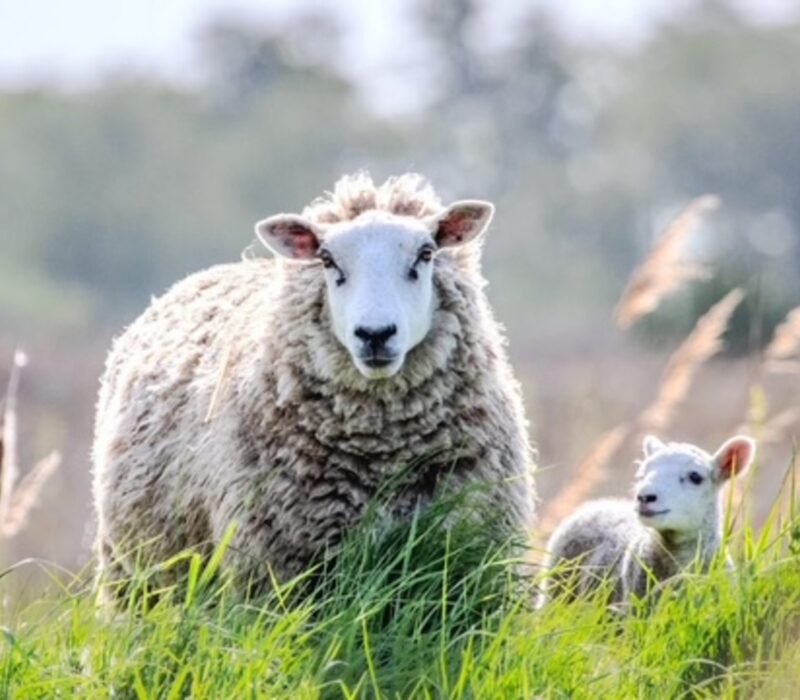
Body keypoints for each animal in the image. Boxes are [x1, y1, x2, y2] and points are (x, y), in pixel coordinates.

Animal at [92, 172, 536, 597]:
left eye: (426, 254)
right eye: (327, 259)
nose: (375, 334)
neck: (384, 455)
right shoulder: (277, 568)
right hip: (132, 575)